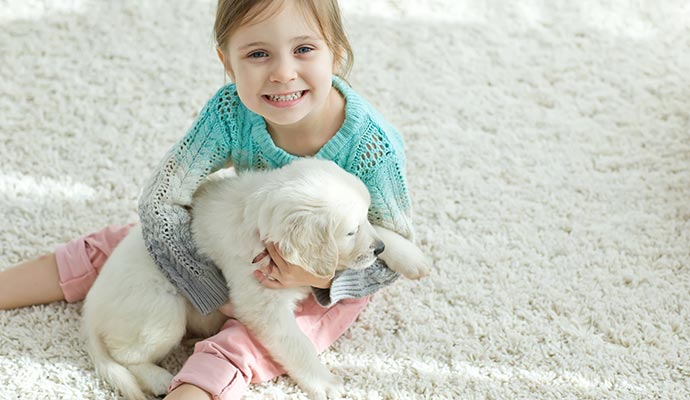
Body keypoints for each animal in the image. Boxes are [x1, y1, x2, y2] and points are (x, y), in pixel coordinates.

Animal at [79, 158, 424, 400]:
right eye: (350, 232)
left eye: (366, 216)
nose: (377, 249)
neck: (259, 217)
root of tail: (89, 311)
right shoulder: (263, 307)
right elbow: (296, 343)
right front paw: (325, 383)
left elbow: (381, 235)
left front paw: (408, 255)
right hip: (162, 314)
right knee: (124, 355)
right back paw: (159, 378)